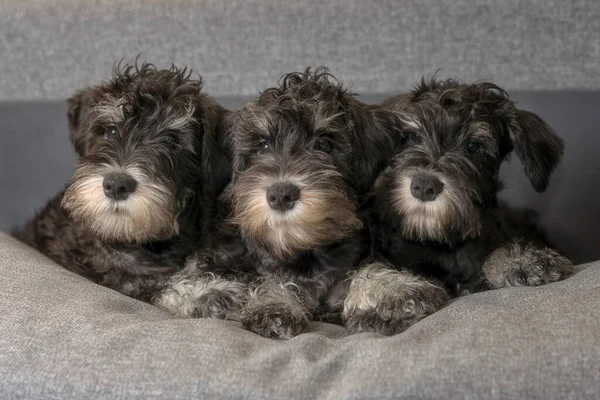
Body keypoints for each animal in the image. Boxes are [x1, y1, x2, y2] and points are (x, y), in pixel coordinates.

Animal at [154, 68, 404, 338]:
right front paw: (275, 305)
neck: (301, 251)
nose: (281, 194)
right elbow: (264, 280)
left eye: (324, 144)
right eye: (262, 145)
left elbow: (365, 269)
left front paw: (386, 298)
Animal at [342, 78, 572, 334]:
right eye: (412, 136)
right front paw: (389, 297)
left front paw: (523, 260)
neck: (439, 241)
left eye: (474, 146)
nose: (424, 185)